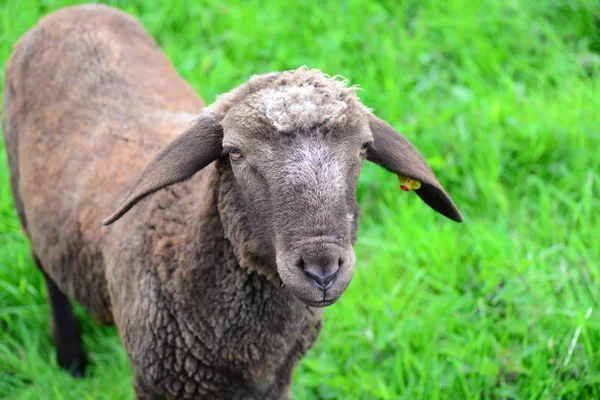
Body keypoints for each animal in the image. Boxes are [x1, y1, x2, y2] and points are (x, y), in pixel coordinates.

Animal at [2, 3, 462, 400]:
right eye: (235, 152)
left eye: (365, 148)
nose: (322, 269)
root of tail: (72, 11)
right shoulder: (153, 383)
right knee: (48, 270)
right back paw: (70, 358)